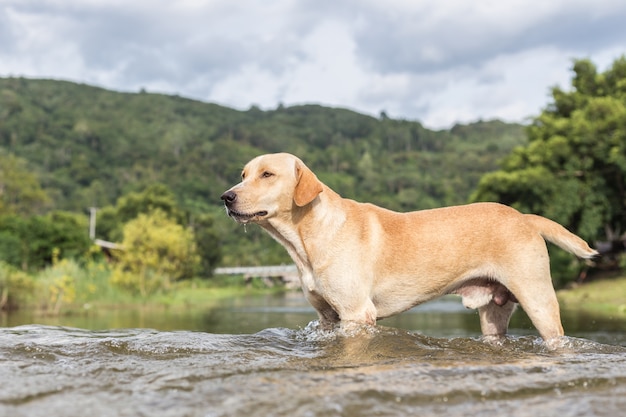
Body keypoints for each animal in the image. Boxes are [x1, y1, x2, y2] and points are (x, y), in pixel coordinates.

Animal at [219, 153, 596, 342]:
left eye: (267, 175)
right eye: (243, 174)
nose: (226, 197)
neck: (306, 236)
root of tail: (524, 216)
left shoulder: (356, 315)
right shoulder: (327, 317)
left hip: (539, 301)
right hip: (493, 313)